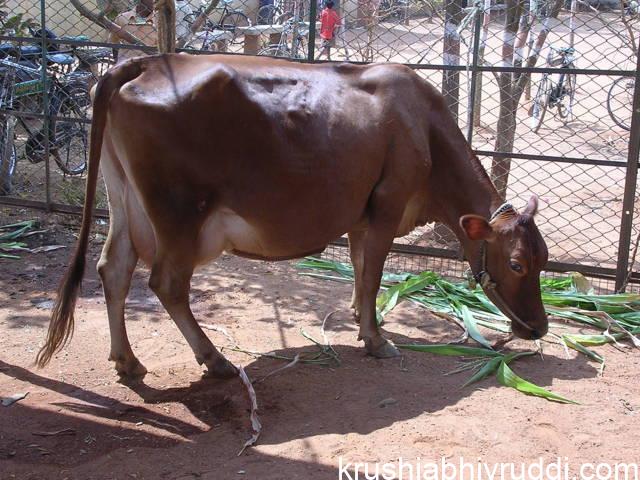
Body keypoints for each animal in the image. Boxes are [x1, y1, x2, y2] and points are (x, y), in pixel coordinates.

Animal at [36, 53, 544, 378]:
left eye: (542, 258)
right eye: (517, 264)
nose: (539, 327)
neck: (425, 128)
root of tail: (143, 62)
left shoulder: (361, 213)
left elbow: (359, 268)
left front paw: (359, 320)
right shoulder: (387, 206)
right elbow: (374, 274)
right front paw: (377, 340)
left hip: (124, 200)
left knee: (114, 268)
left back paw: (127, 361)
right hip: (179, 214)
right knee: (166, 283)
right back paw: (215, 360)